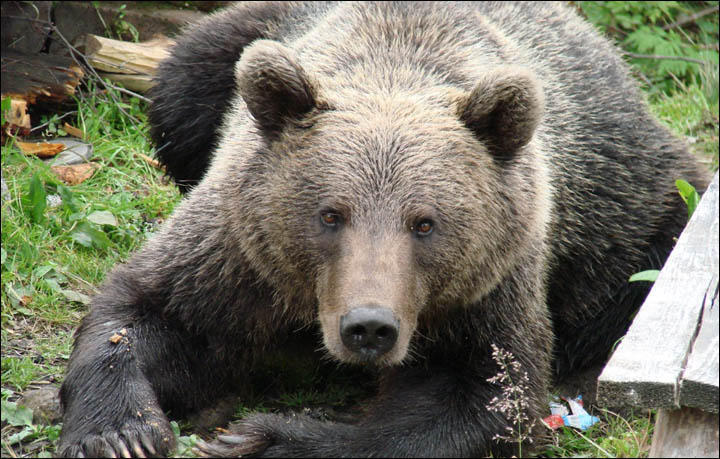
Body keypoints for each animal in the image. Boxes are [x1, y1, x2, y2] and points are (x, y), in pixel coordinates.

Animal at [57, 1, 710, 457]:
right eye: (330, 214)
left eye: (424, 223)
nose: (369, 327)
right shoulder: (238, 250)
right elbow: (151, 310)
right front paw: (119, 430)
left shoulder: (490, 284)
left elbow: (482, 395)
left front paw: (264, 437)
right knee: (182, 84)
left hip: (624, 195)